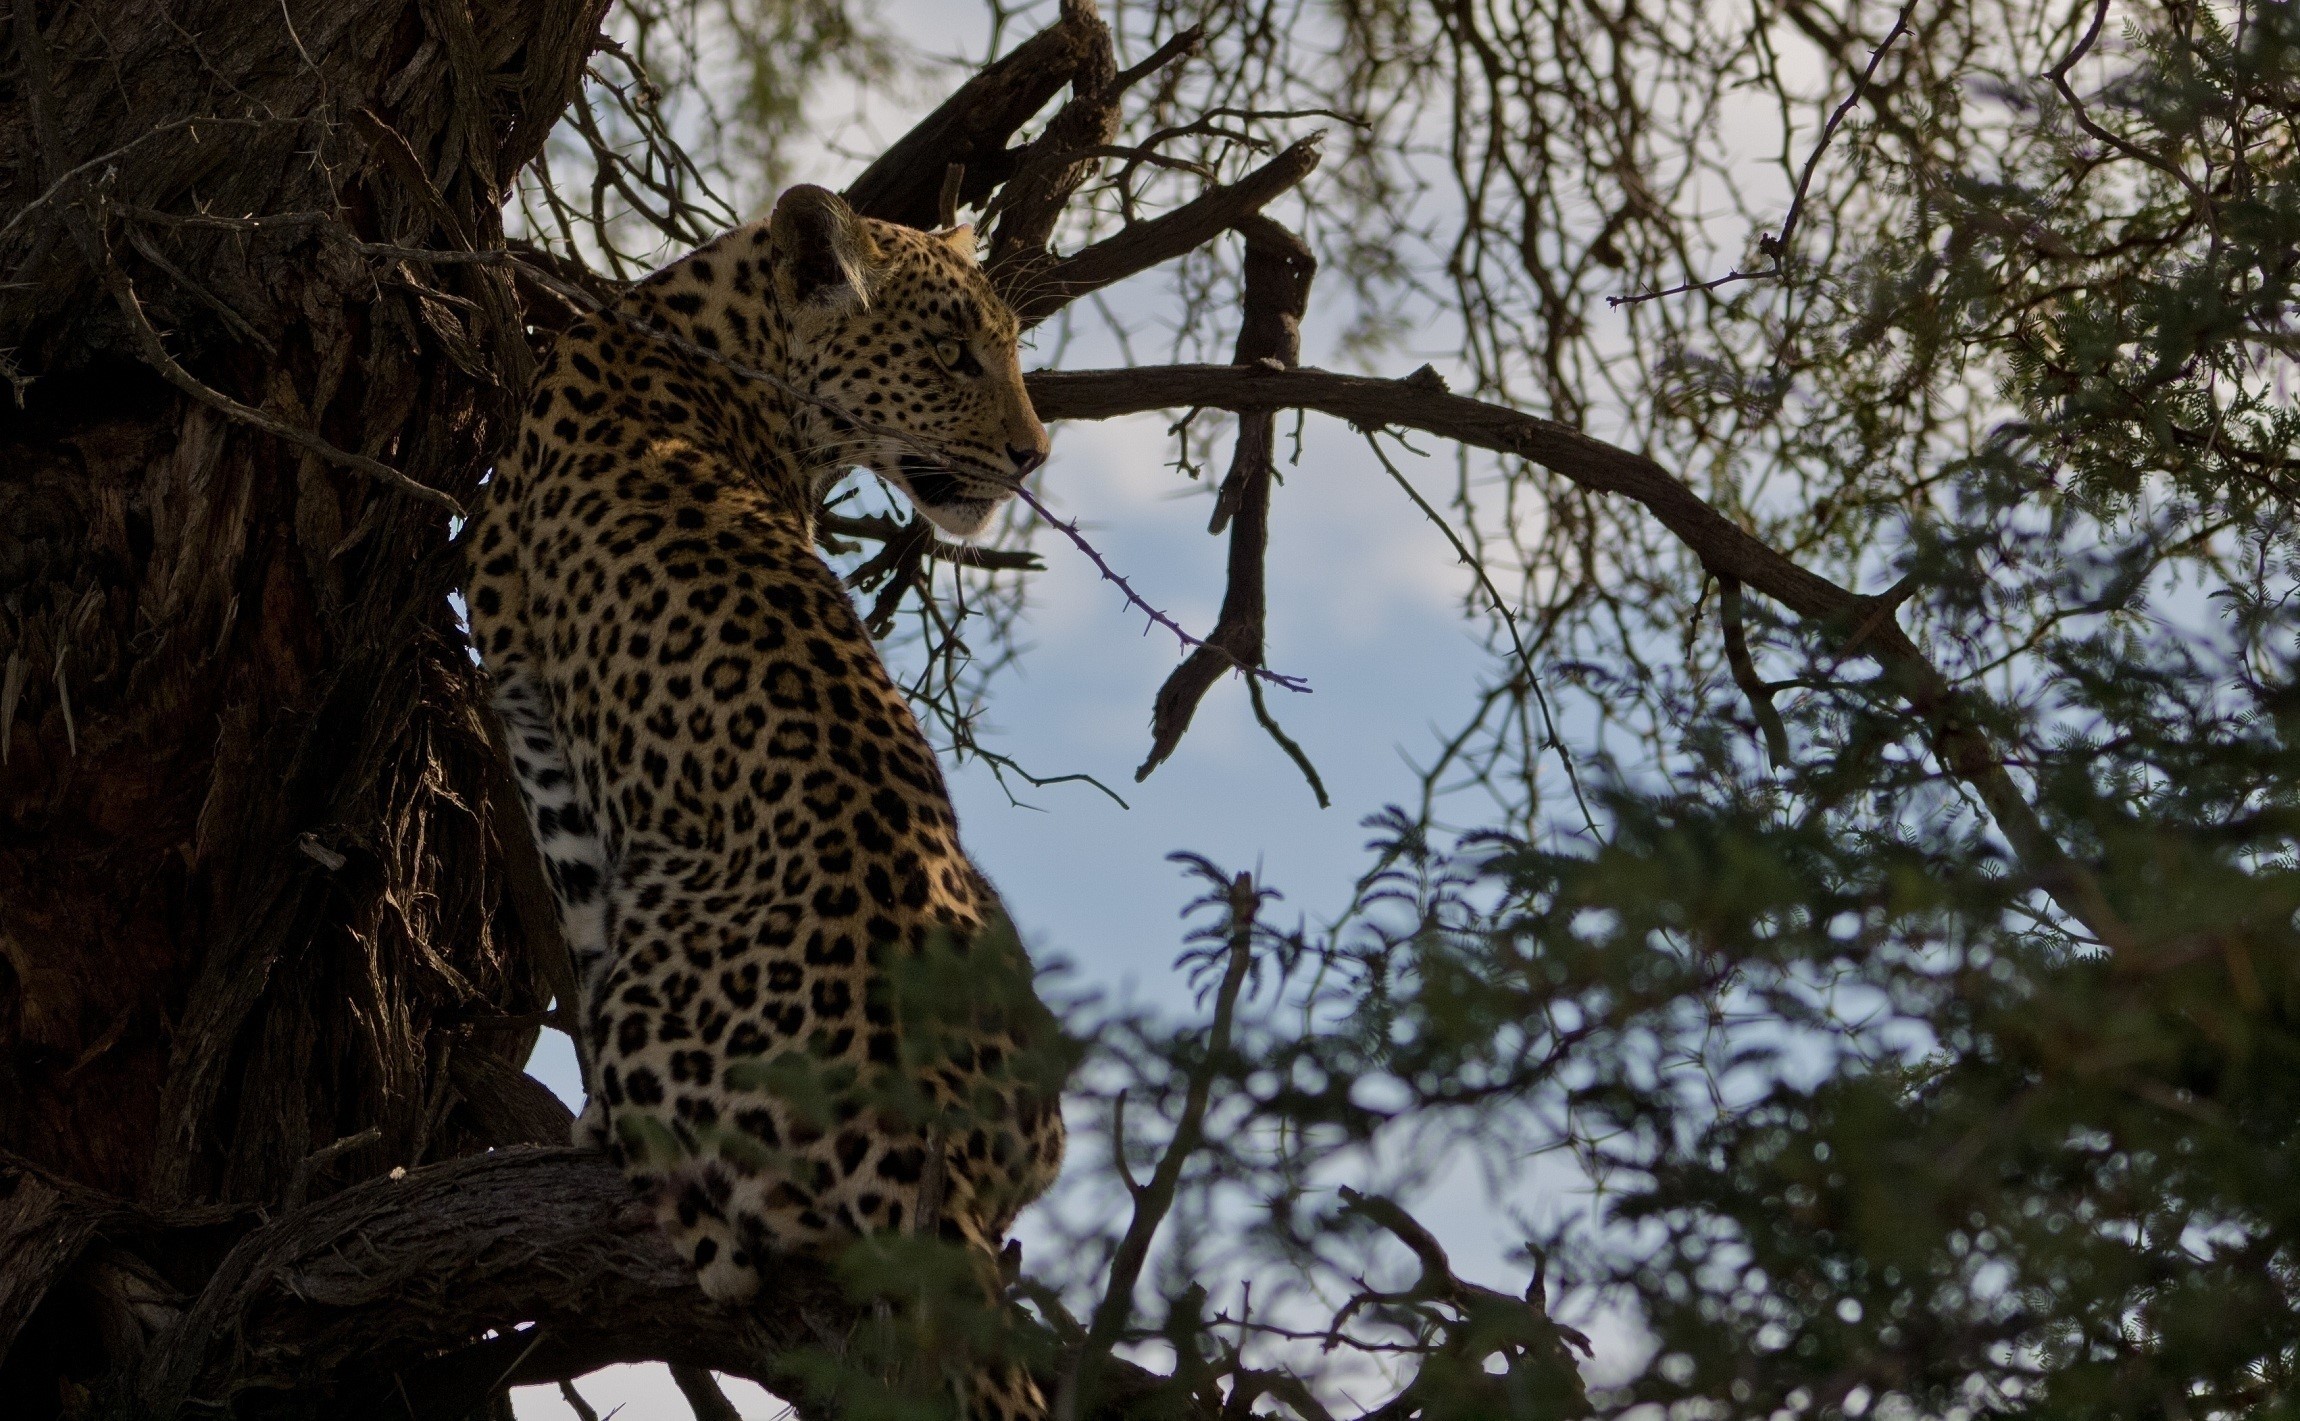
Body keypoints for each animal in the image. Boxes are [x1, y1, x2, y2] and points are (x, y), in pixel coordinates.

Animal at [463, 185, 1066, 1420]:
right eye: (954, 351)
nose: (1033, 454)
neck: (718, 328)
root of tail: (924, 1125)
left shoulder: (519, 678)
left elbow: (578, 894)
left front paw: (586, 1123)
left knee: (725, 1225)